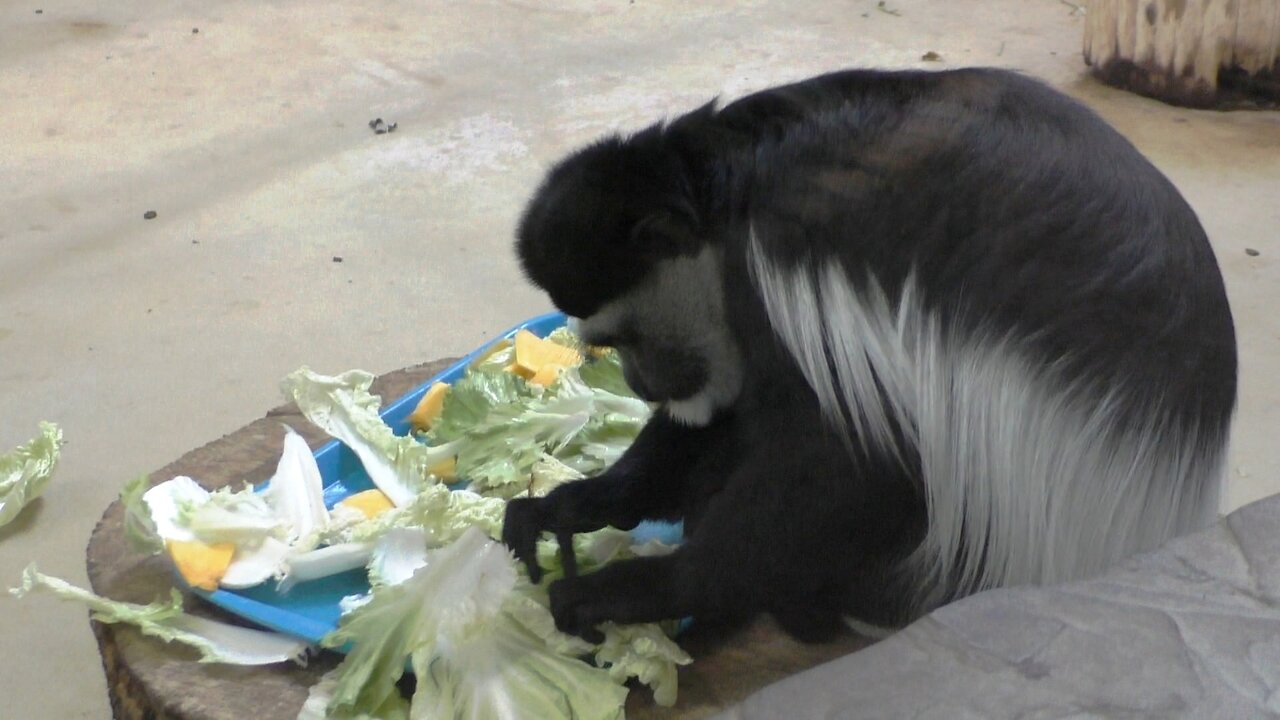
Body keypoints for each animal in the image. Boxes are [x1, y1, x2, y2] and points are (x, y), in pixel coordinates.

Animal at [496, 65, 1228, 638]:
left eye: (625, 339)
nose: (644, 384)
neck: (732, 191)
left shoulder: (782, 274)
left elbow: (847, 463)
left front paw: (636, 591)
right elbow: (728, 418)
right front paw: (571, 505)